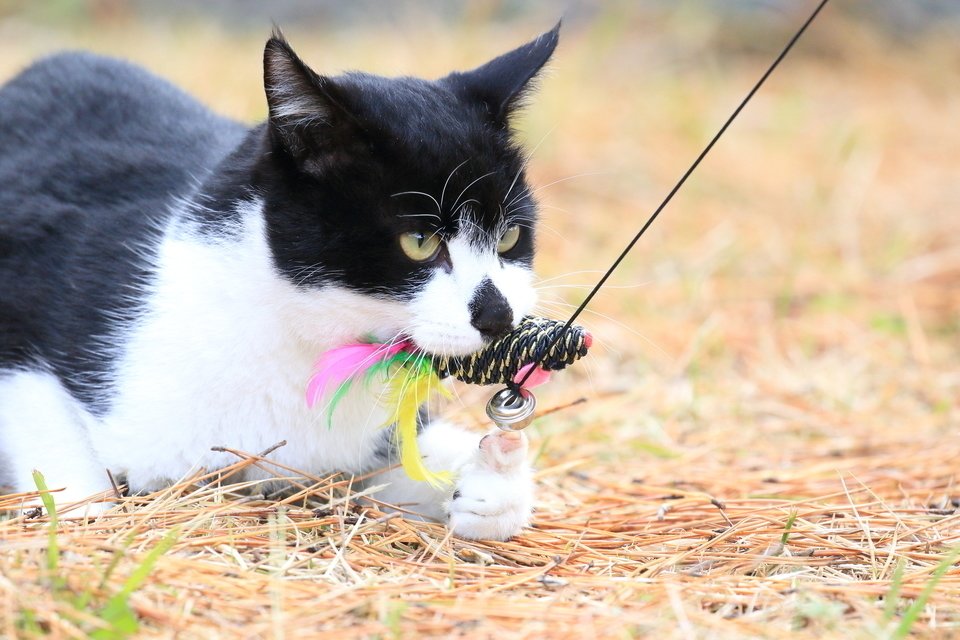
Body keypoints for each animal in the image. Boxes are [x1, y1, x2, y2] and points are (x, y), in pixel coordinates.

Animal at [0, 23, 564, 540]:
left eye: (510, 235)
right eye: (420, 242)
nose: (499, 315)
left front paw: (491, 483)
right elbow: (53, 429)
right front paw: (82, 511)